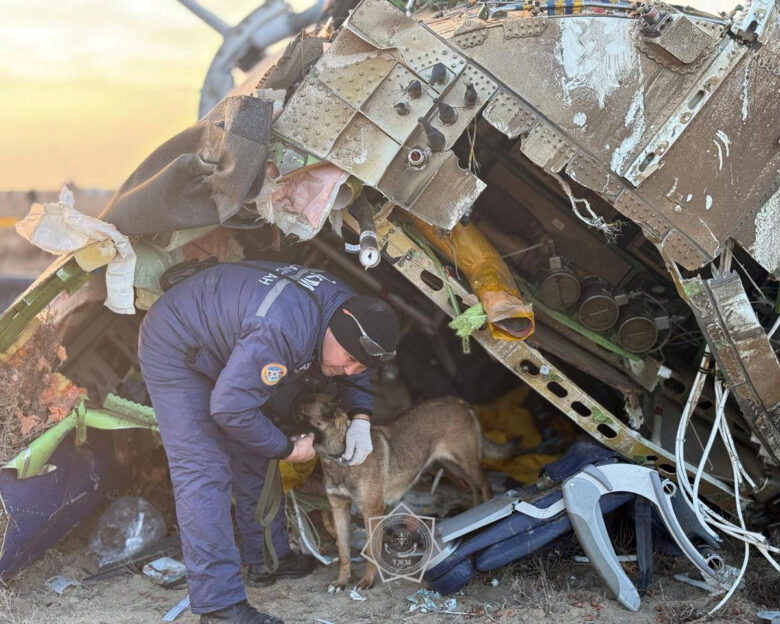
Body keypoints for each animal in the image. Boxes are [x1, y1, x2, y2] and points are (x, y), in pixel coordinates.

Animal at [296, 392, 490, 592]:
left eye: (299, 416)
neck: (340, 457)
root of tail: (460, 401)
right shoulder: (339, 508)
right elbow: (343, 551)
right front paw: (341, 581)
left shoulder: (372, 511)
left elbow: (371, 550)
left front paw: (367, 581)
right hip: (452, 465)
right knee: (473, 487)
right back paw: (476, 509)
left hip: (466, 463)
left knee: (484, 483)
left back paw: (488, 507)